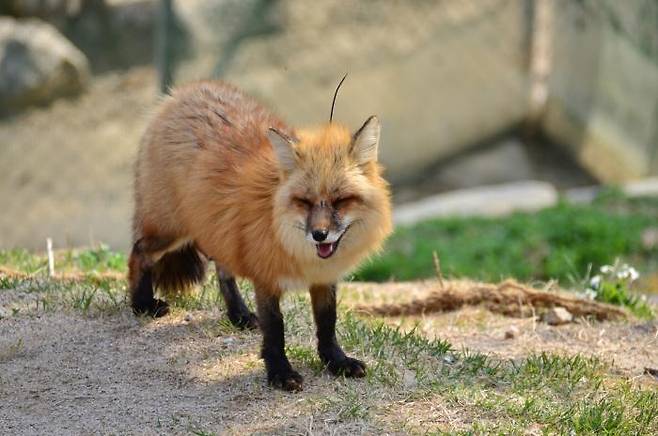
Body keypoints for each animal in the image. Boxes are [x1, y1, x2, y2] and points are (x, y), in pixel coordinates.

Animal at [131, 80, 392, 390]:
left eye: (341, 200)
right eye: (304, 201)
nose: (319, 235)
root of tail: (182, 91)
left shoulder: (323, 278)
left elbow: (327, 322)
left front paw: (335, 361)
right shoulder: (265, 277)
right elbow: (275, 328)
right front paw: (280, 372)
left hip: (218, 229)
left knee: (223, 271)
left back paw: (238, 315)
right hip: (172, 231)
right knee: (139, 251)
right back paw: (141, 304)